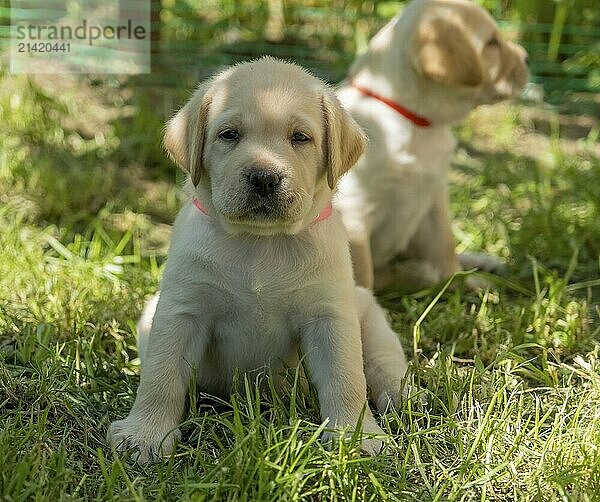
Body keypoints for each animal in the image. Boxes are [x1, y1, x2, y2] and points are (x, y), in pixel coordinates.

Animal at [106, 57, 408, 462]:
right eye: (229, 135)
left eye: (300, 138)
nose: (264, 178)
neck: (260, 244)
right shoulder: (181, 311)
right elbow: (161, 376)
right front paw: (145, 435)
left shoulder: (329, 317)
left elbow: (346, 379)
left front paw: (355, 436)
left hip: (370, 318)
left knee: (382, 368)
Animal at [336, 0, 528, 290]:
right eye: (492, 43)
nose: (527, 57)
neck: (415, 123)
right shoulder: (354, 212)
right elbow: (362, 275)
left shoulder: (434, 197)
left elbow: (444, 246)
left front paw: (461, 282)